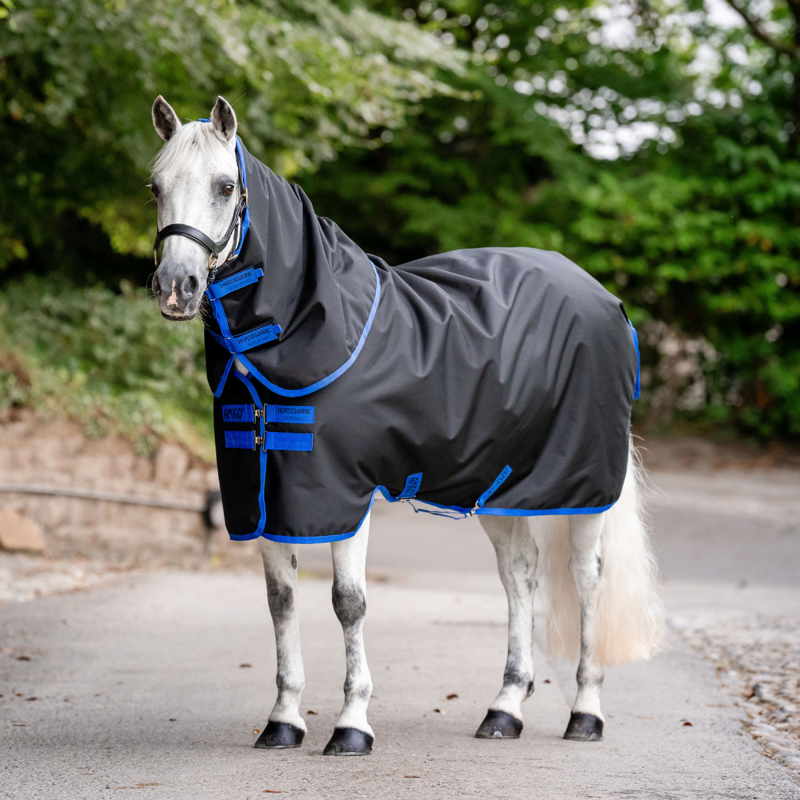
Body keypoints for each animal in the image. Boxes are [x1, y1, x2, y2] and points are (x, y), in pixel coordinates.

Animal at [147, 95, 665, 756]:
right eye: (155, 186)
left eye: (225, 185)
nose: (176, 287)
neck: (309, 329)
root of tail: (606, 300)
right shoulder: (264, 495)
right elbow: (281, 602)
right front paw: (284, 720)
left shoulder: (344, 494)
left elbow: (348, 602)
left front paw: (351, 725)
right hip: (497, 485)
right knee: (519, 576)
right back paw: (504, 709)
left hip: (585, 485)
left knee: (588, 578)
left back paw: (586, 712)